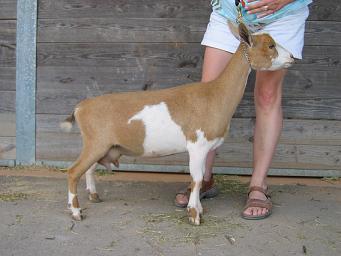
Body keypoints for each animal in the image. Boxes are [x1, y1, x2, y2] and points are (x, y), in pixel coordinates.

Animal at [62, 23, 294, 224]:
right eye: (271, 45)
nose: (292, 57)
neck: (215, 94)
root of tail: (81, 106)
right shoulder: (197, 145)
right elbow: (197, 179)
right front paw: (194, 214)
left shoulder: (204, 147)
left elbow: (199, 178)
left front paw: (198, 208)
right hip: (95, 142)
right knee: (73, 171)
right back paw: (76, 212)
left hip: (102, 146)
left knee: (90, 168)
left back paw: (94, 196)